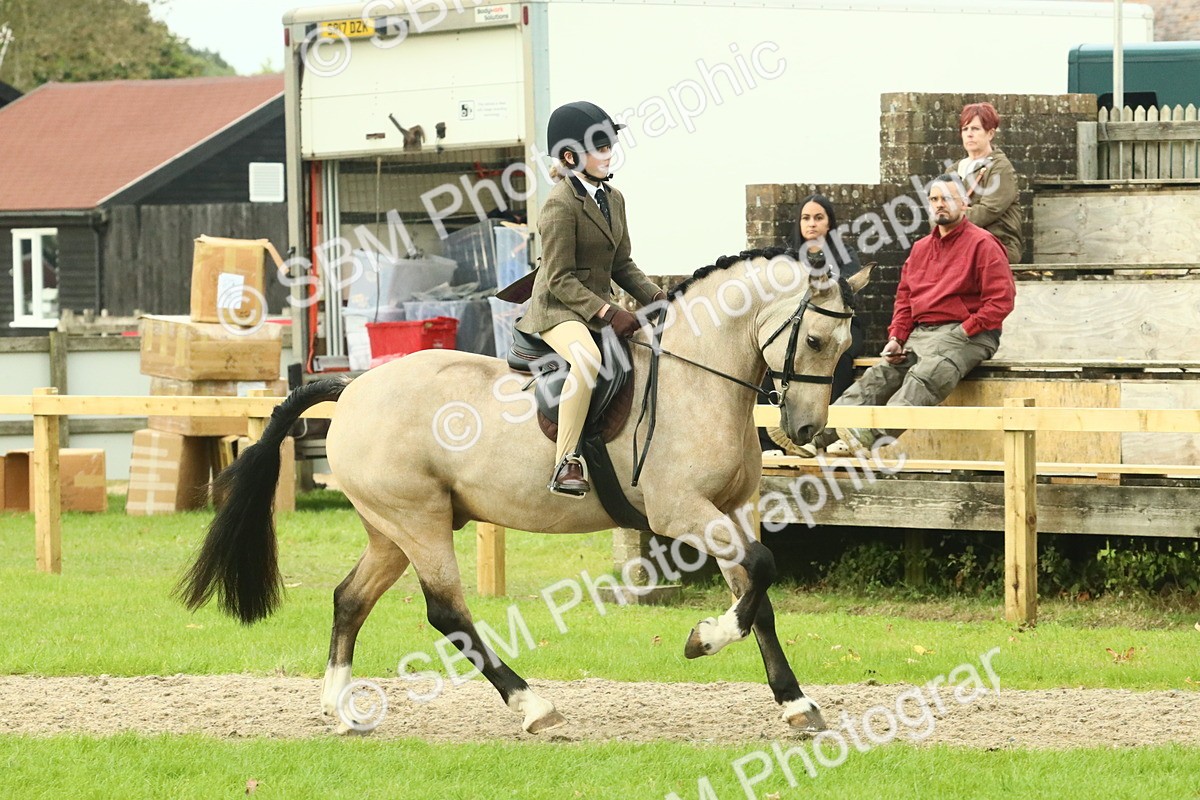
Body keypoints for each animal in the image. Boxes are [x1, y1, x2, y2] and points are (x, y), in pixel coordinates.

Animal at [178, 246, 871, 735]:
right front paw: (703, 639)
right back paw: (533, 706)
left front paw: (795, 702)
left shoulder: (733, 509)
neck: (695, 380)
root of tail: (352, 388)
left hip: (392, 529)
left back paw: (341, 710)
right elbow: (762, 569)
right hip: (419, 521)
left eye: (844, 346)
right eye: (814, 340)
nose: (805, 430)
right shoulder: (683, 513)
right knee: (447, 612)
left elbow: (759, 593)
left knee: (350, 599)